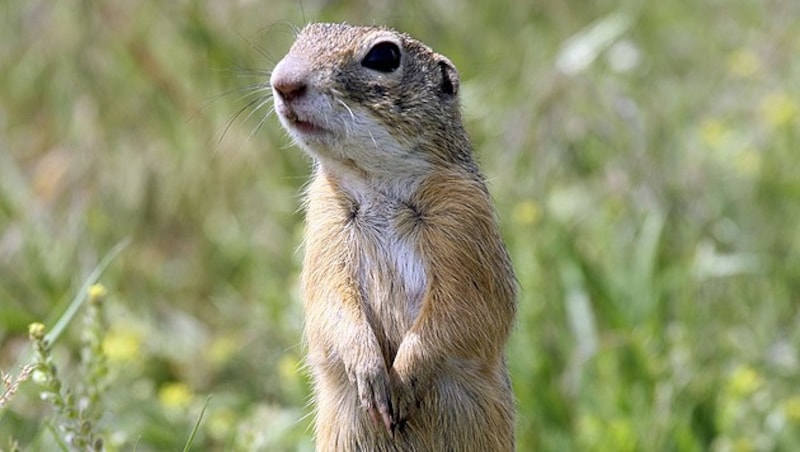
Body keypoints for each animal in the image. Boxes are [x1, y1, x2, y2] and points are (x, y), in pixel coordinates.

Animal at [270, 23, 520, 450]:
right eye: (301, 38)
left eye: (383, 56)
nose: (283, 81)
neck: (377, 182)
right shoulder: (325, 225)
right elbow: (330, 303)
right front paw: (369, 371)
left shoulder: (464, 220)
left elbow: (462, 308)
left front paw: (403, 378)